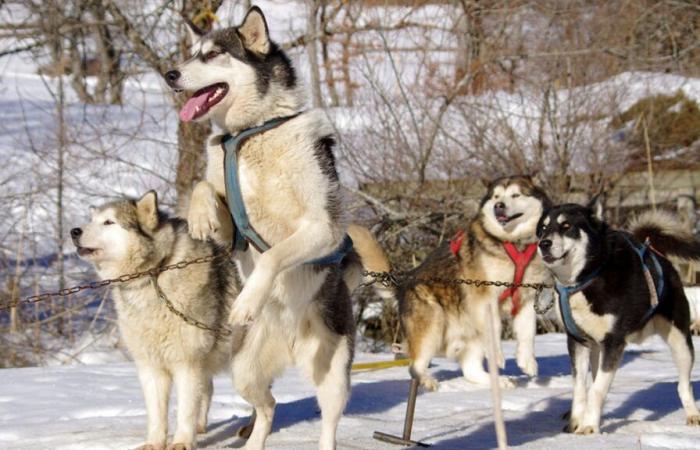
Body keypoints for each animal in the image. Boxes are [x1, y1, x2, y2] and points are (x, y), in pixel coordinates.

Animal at [71, 191, 241, 450]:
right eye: (92, 220)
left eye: (109, 222)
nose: (74, 231)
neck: (155, 273)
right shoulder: (150, 366)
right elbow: (156, 413)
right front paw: (154, 442)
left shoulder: (187, 363)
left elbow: (185, 410)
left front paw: (181, 442)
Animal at [536, 203, 700, 432]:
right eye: (542, 228)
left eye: (566, 225)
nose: (543, 244)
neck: (586, 278)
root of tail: (654, 252)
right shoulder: (577, 341)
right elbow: (580, 388)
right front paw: (576, 422)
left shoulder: (613, 343)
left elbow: (597, 389)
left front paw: (588, 427)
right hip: (596, 348)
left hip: (680, 342)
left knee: (684, 385)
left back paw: (693, 414)